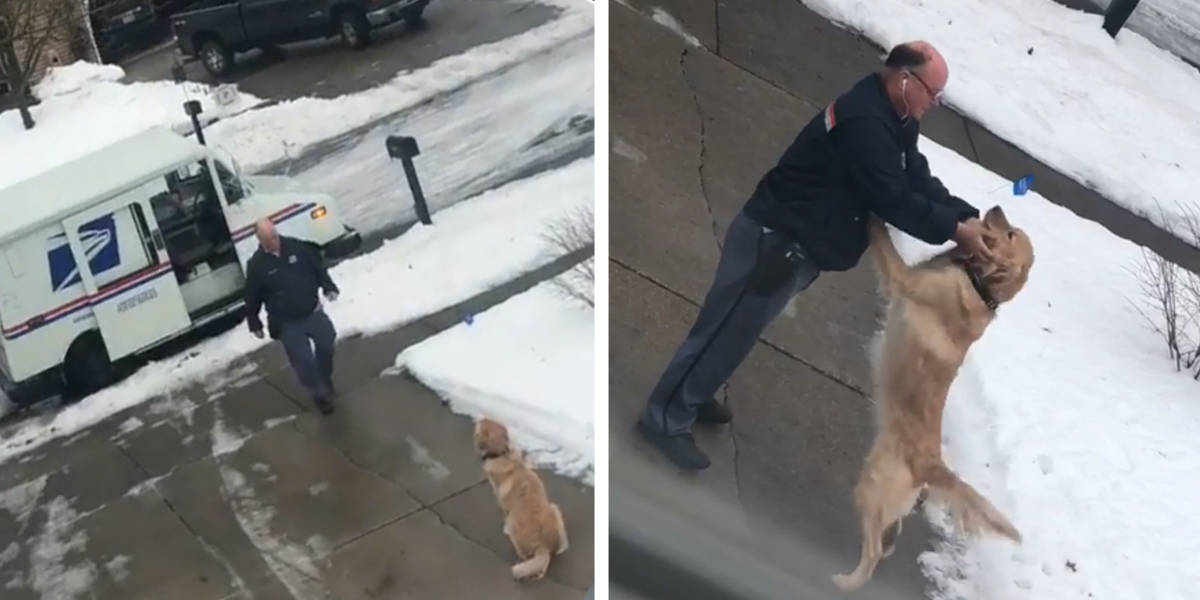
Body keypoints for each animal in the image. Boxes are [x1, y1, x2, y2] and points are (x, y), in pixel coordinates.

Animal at [475, 417, 568, 580]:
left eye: (483, 424)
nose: (480, 417)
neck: (501, 454)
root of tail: (542, 546)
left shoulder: (503, 503)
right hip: (554, 507)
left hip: (514, 523)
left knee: (523, 555)